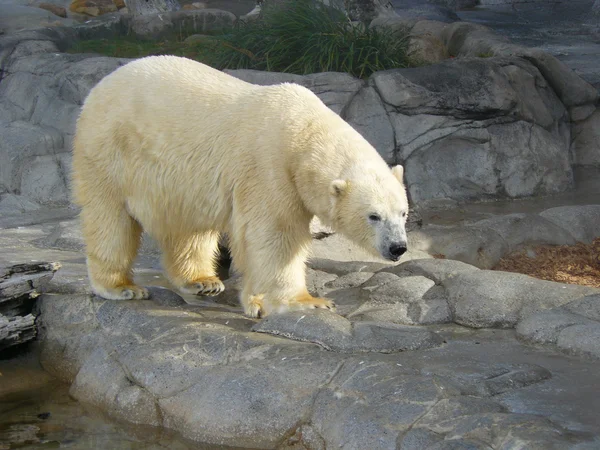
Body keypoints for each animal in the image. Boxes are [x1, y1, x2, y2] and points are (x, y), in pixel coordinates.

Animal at [70, 55, 408, 316]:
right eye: (373, 216)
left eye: (403, 213)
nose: (398, 247)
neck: (304, 132)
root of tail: (98, 88)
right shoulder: (268, 169)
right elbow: (276, 236)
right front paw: (306, 302)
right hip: (109, 153)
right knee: (110, 220)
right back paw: (121, 287)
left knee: (187, 230)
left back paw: (202, 280)